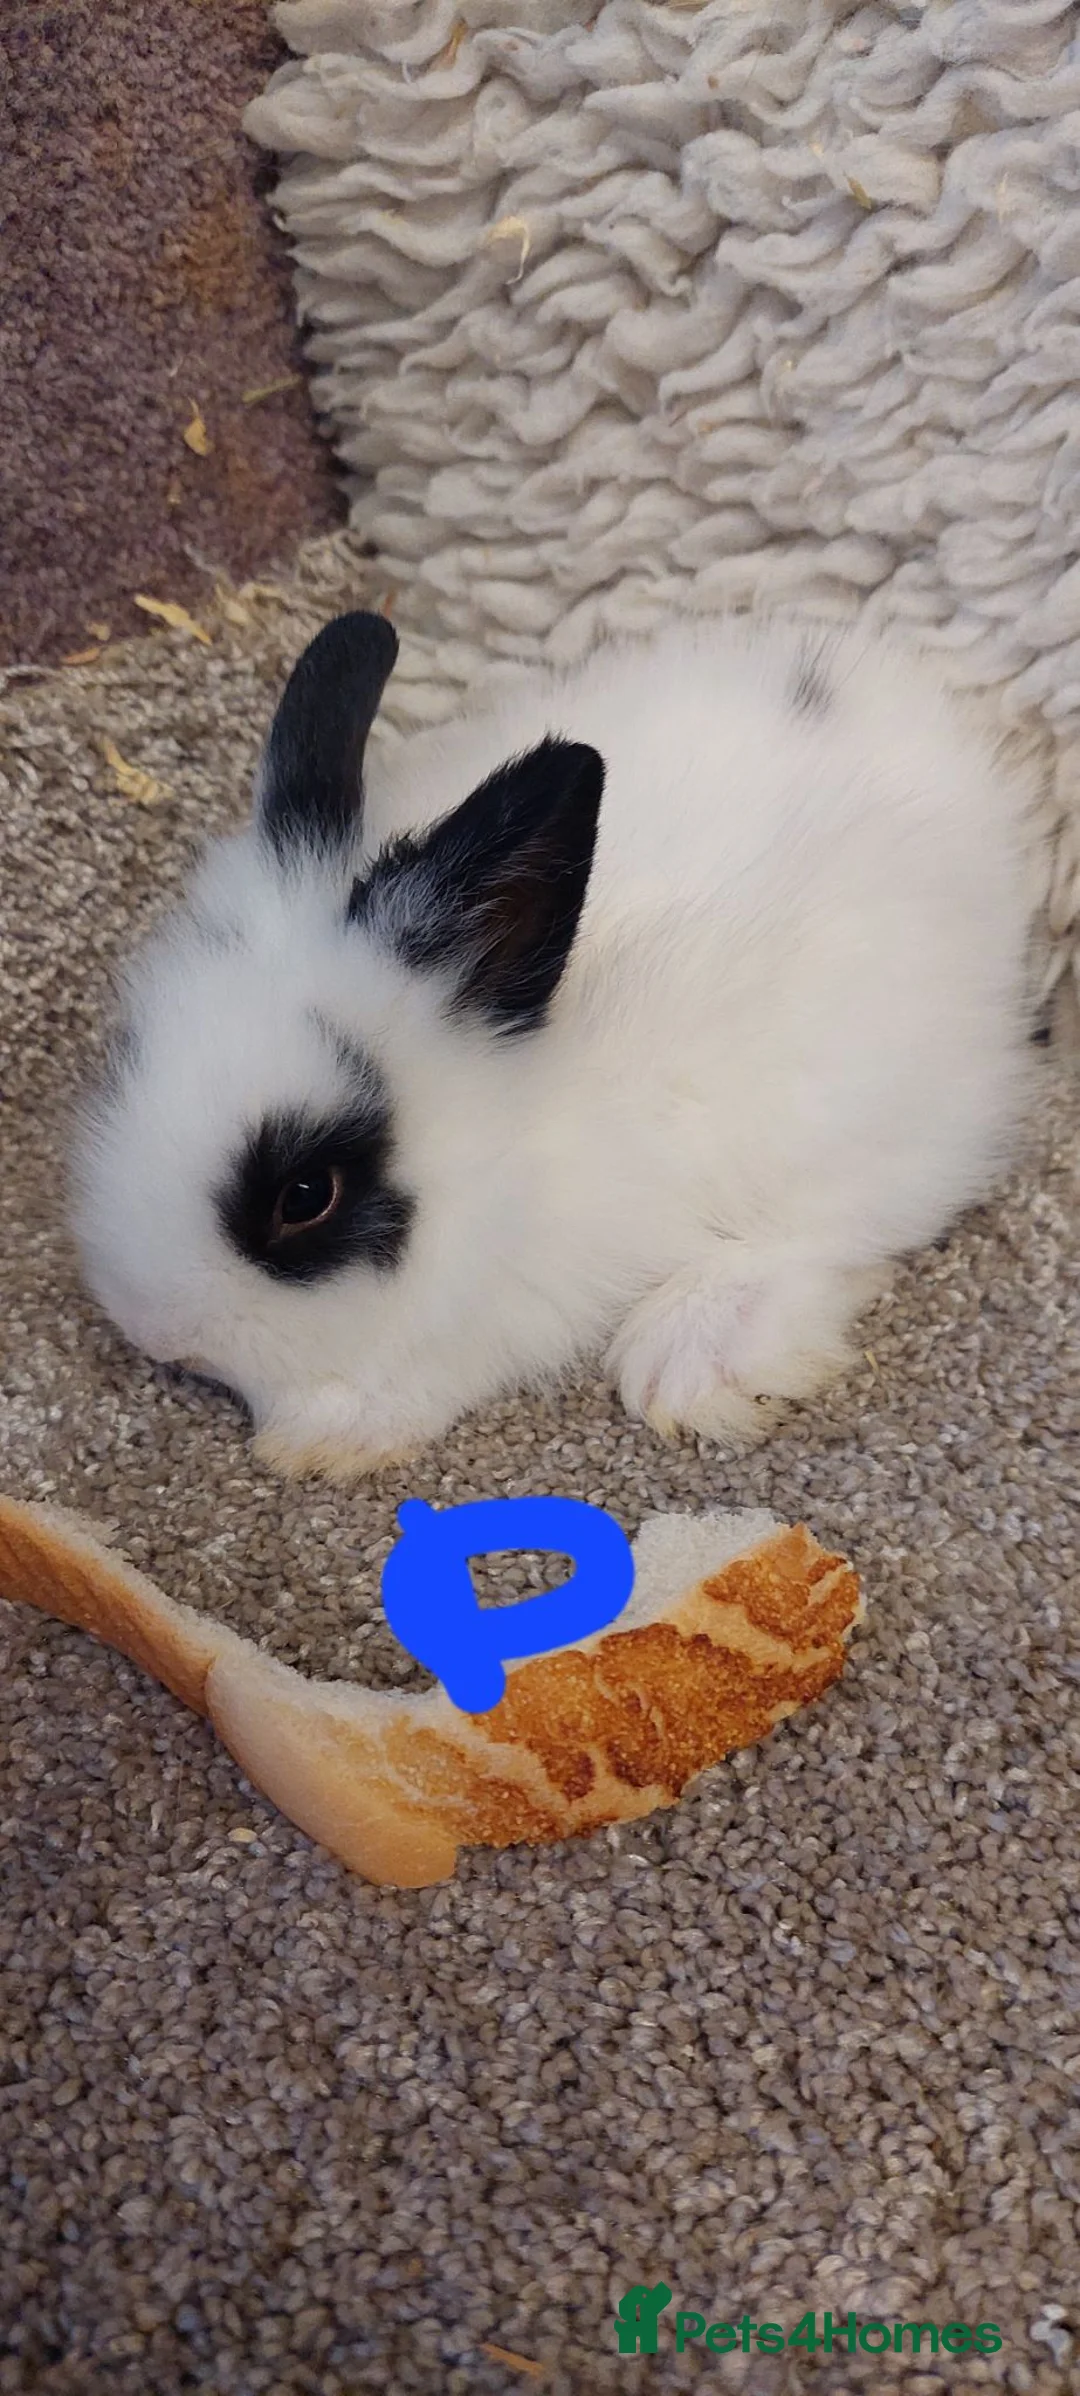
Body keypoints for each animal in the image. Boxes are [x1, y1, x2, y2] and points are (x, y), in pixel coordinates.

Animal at [71, 608, 1040, 1481]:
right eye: (125, 1060)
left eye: (307, 1196)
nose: (162, 1336)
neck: (513, 1156)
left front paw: (322, 1443)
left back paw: (689, 1364)